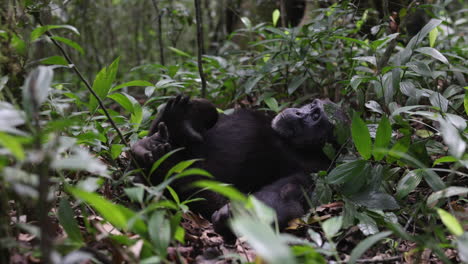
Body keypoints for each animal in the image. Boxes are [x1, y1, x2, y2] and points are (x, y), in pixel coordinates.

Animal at [132, 95, 344, 239]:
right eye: (312, 106)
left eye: (315, 116)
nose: (300, 112)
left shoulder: (318, 175)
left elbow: (285, 196)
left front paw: (233, 217)